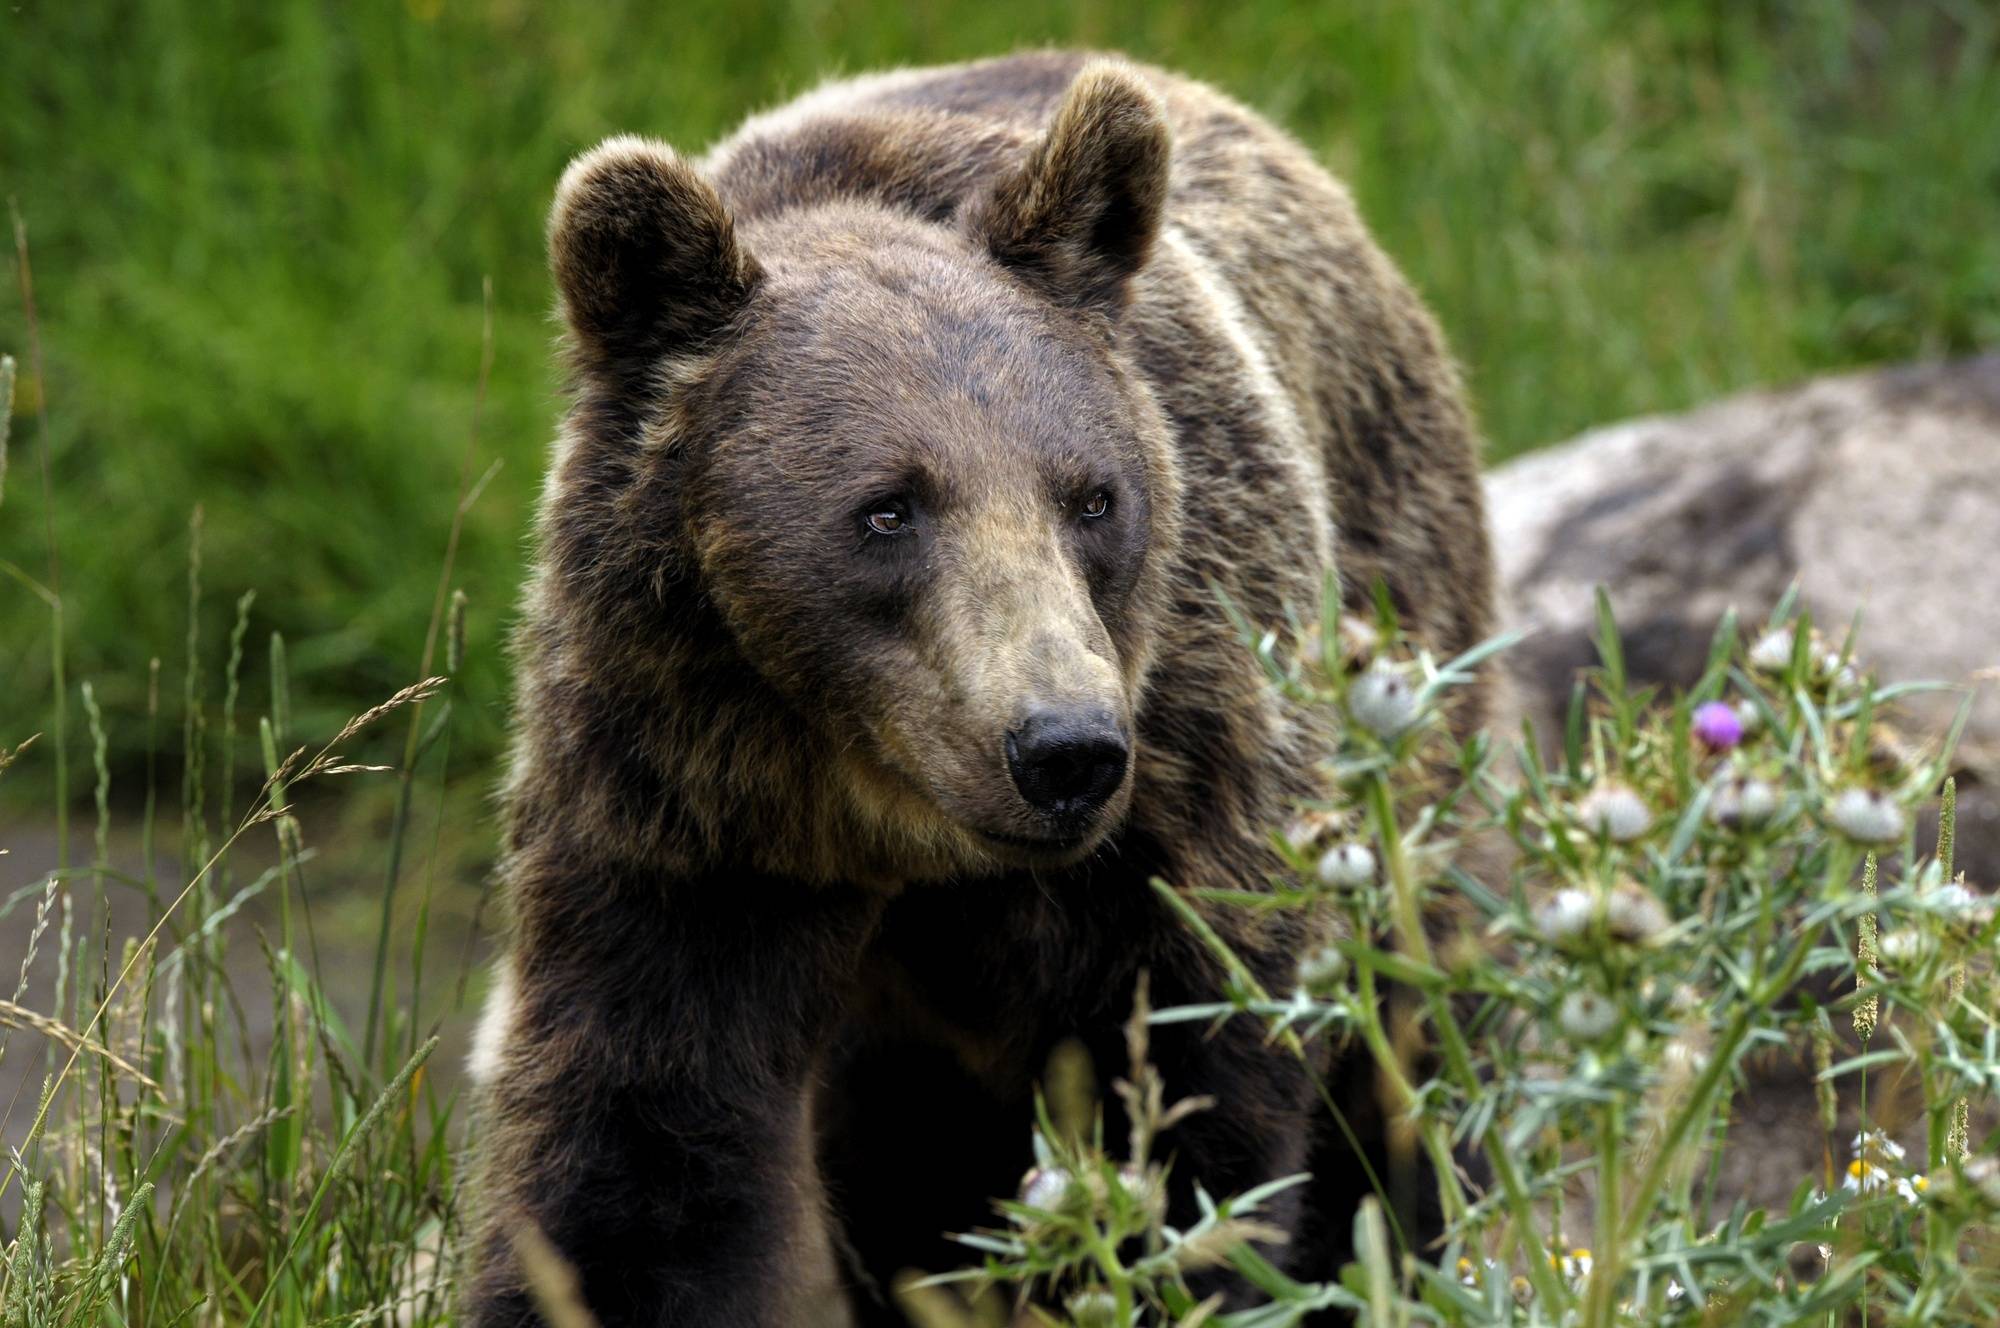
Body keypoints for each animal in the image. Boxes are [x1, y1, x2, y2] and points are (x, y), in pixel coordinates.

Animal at [468, 46, 1496, 1320]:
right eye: (885, 509)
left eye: (1091, 495)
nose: (1061, 749)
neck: (883, 821)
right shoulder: (678, 814)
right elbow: (637, 1156)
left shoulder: (1185, 789)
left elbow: (1187, 1116)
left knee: (1405, 1015)